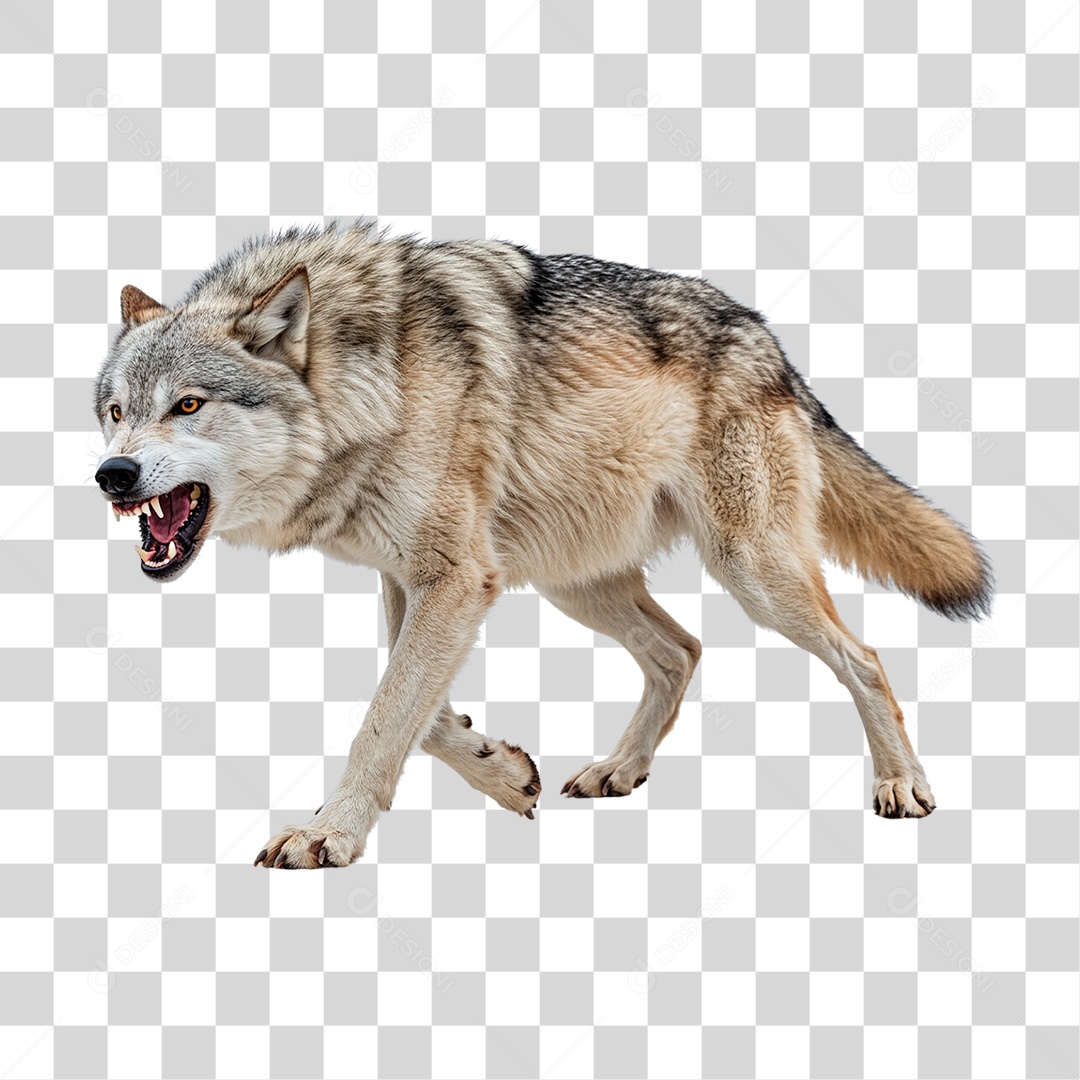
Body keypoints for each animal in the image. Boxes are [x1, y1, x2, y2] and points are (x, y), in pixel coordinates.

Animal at [92, 221, 992, 868]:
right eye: (115, 411)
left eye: (188, 405)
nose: (112, 474)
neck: (366, 384)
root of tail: (769, 339)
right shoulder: (417, 580)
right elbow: (417, 713)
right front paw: (501, 771)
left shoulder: (457, 580)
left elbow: (384, 717)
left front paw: (327, 836)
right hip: (575, 582)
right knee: (682, 650)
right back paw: (618, 771)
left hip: (752, 572)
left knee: (861, 656)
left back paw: (902, 784)